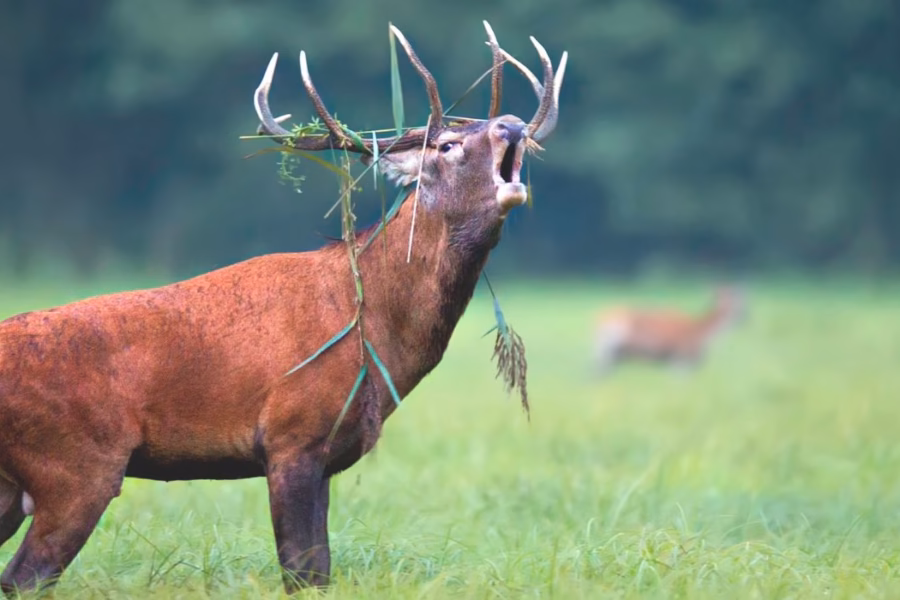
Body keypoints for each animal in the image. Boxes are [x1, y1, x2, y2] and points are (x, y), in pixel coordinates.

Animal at [0, 23, 567, 595]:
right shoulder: (291, 434)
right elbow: (303, 570)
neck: (374, 333)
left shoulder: (327, 453)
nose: (513, 125)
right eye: (449, 145)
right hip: (76, 463)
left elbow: (320, 570)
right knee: (24, 576)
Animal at [592, 286, 747, 376]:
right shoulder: (679, 361)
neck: (702, 332)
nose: (747, 318)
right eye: (738, 303)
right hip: (608, 352)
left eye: (743, 302)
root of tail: (603, 318)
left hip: (611, 355)